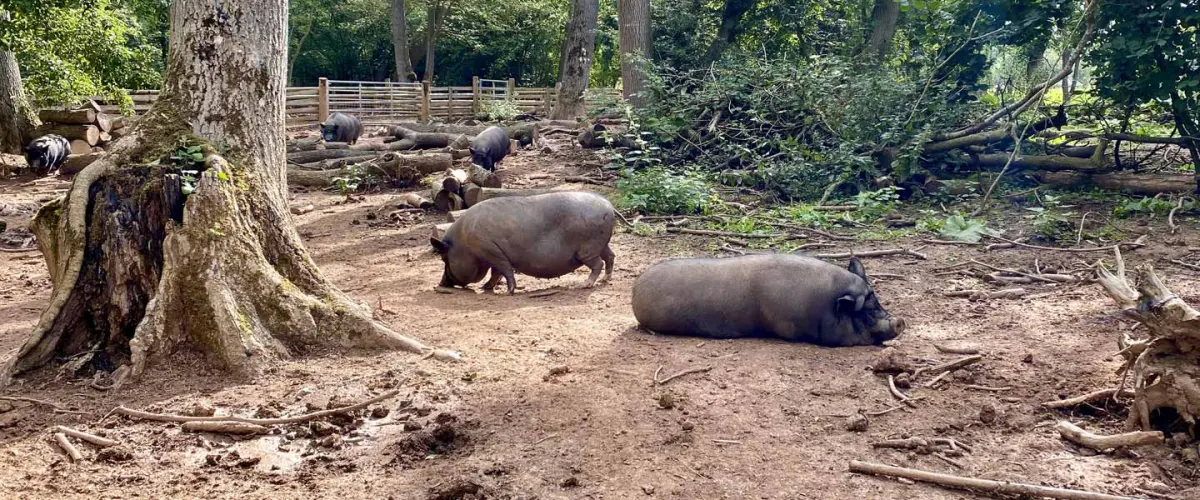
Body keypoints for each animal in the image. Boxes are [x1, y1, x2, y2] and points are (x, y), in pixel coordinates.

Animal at [430, 191, 616, 294]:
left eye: (444, 258)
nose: (440, 283)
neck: (464, 243)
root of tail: (608, 205)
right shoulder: (493, 254)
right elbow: (496, 273)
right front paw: (485, 288)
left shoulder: (492, 252)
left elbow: (504, 270)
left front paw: (509, 291)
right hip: (602, 244)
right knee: (610, 256)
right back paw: (605, 280)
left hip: (588, 249)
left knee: (598, 263)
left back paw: (585, 285)